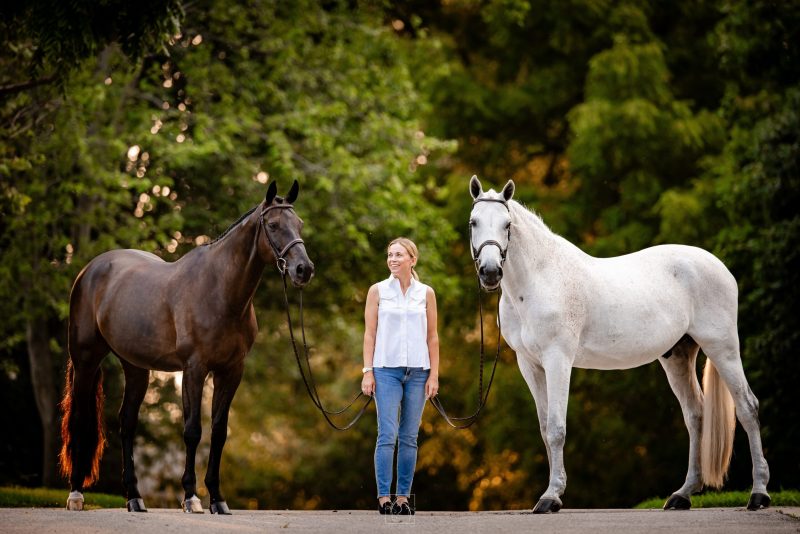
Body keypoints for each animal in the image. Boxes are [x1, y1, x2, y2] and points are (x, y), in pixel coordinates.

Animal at [59, 180, 314, 514]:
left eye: (299, 224)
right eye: (273, 225)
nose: (304, 269)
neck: (219, 291)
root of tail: (89, 270)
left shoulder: (231, 371)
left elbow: (218, 432)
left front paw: (217, 498)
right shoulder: (194, 369)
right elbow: (193, 431)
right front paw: (192, 497)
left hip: (136, 367)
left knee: (127, 423)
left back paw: (134, 497)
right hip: (86, 360)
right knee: (80, 419)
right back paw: (76, 494)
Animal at [467, 175, 770, 513]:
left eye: (507, 225)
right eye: (473, 222)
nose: (490, 272)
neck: (540, 280)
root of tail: (719, 267)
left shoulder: (558, 359)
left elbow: (557, 428)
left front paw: (551, 497)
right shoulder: (529, 364)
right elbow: (545, 429)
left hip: (722, 348)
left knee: (747, 407)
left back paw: (758, 494)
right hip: (678, 355)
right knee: (696, 415)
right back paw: (682, 495)